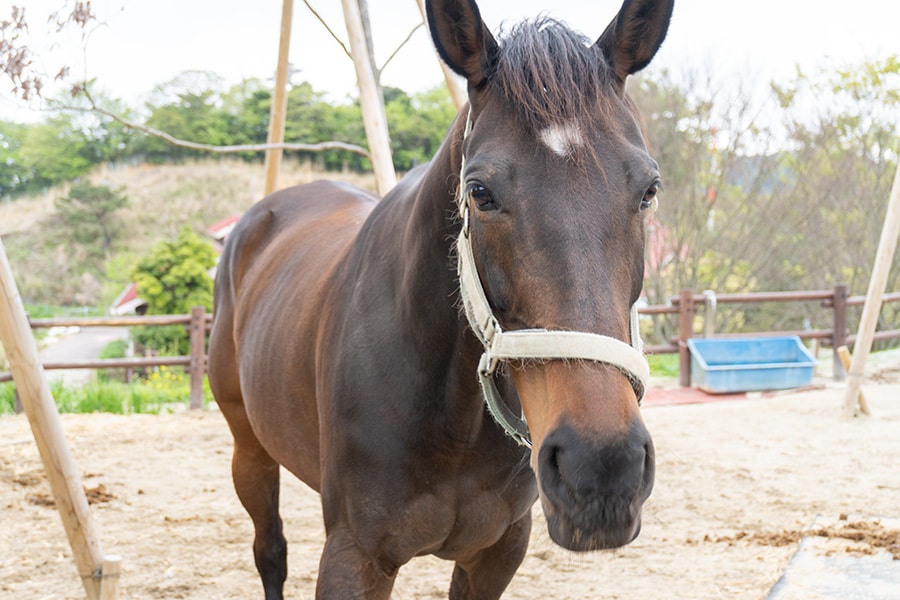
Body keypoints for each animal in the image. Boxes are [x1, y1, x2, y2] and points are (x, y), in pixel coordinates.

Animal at [211, 0, 672, 596]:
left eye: (648, 190)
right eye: (480, 193)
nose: (602, 469)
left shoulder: (498, 551)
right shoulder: (354, 555)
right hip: (249, 449)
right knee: (270, 550)